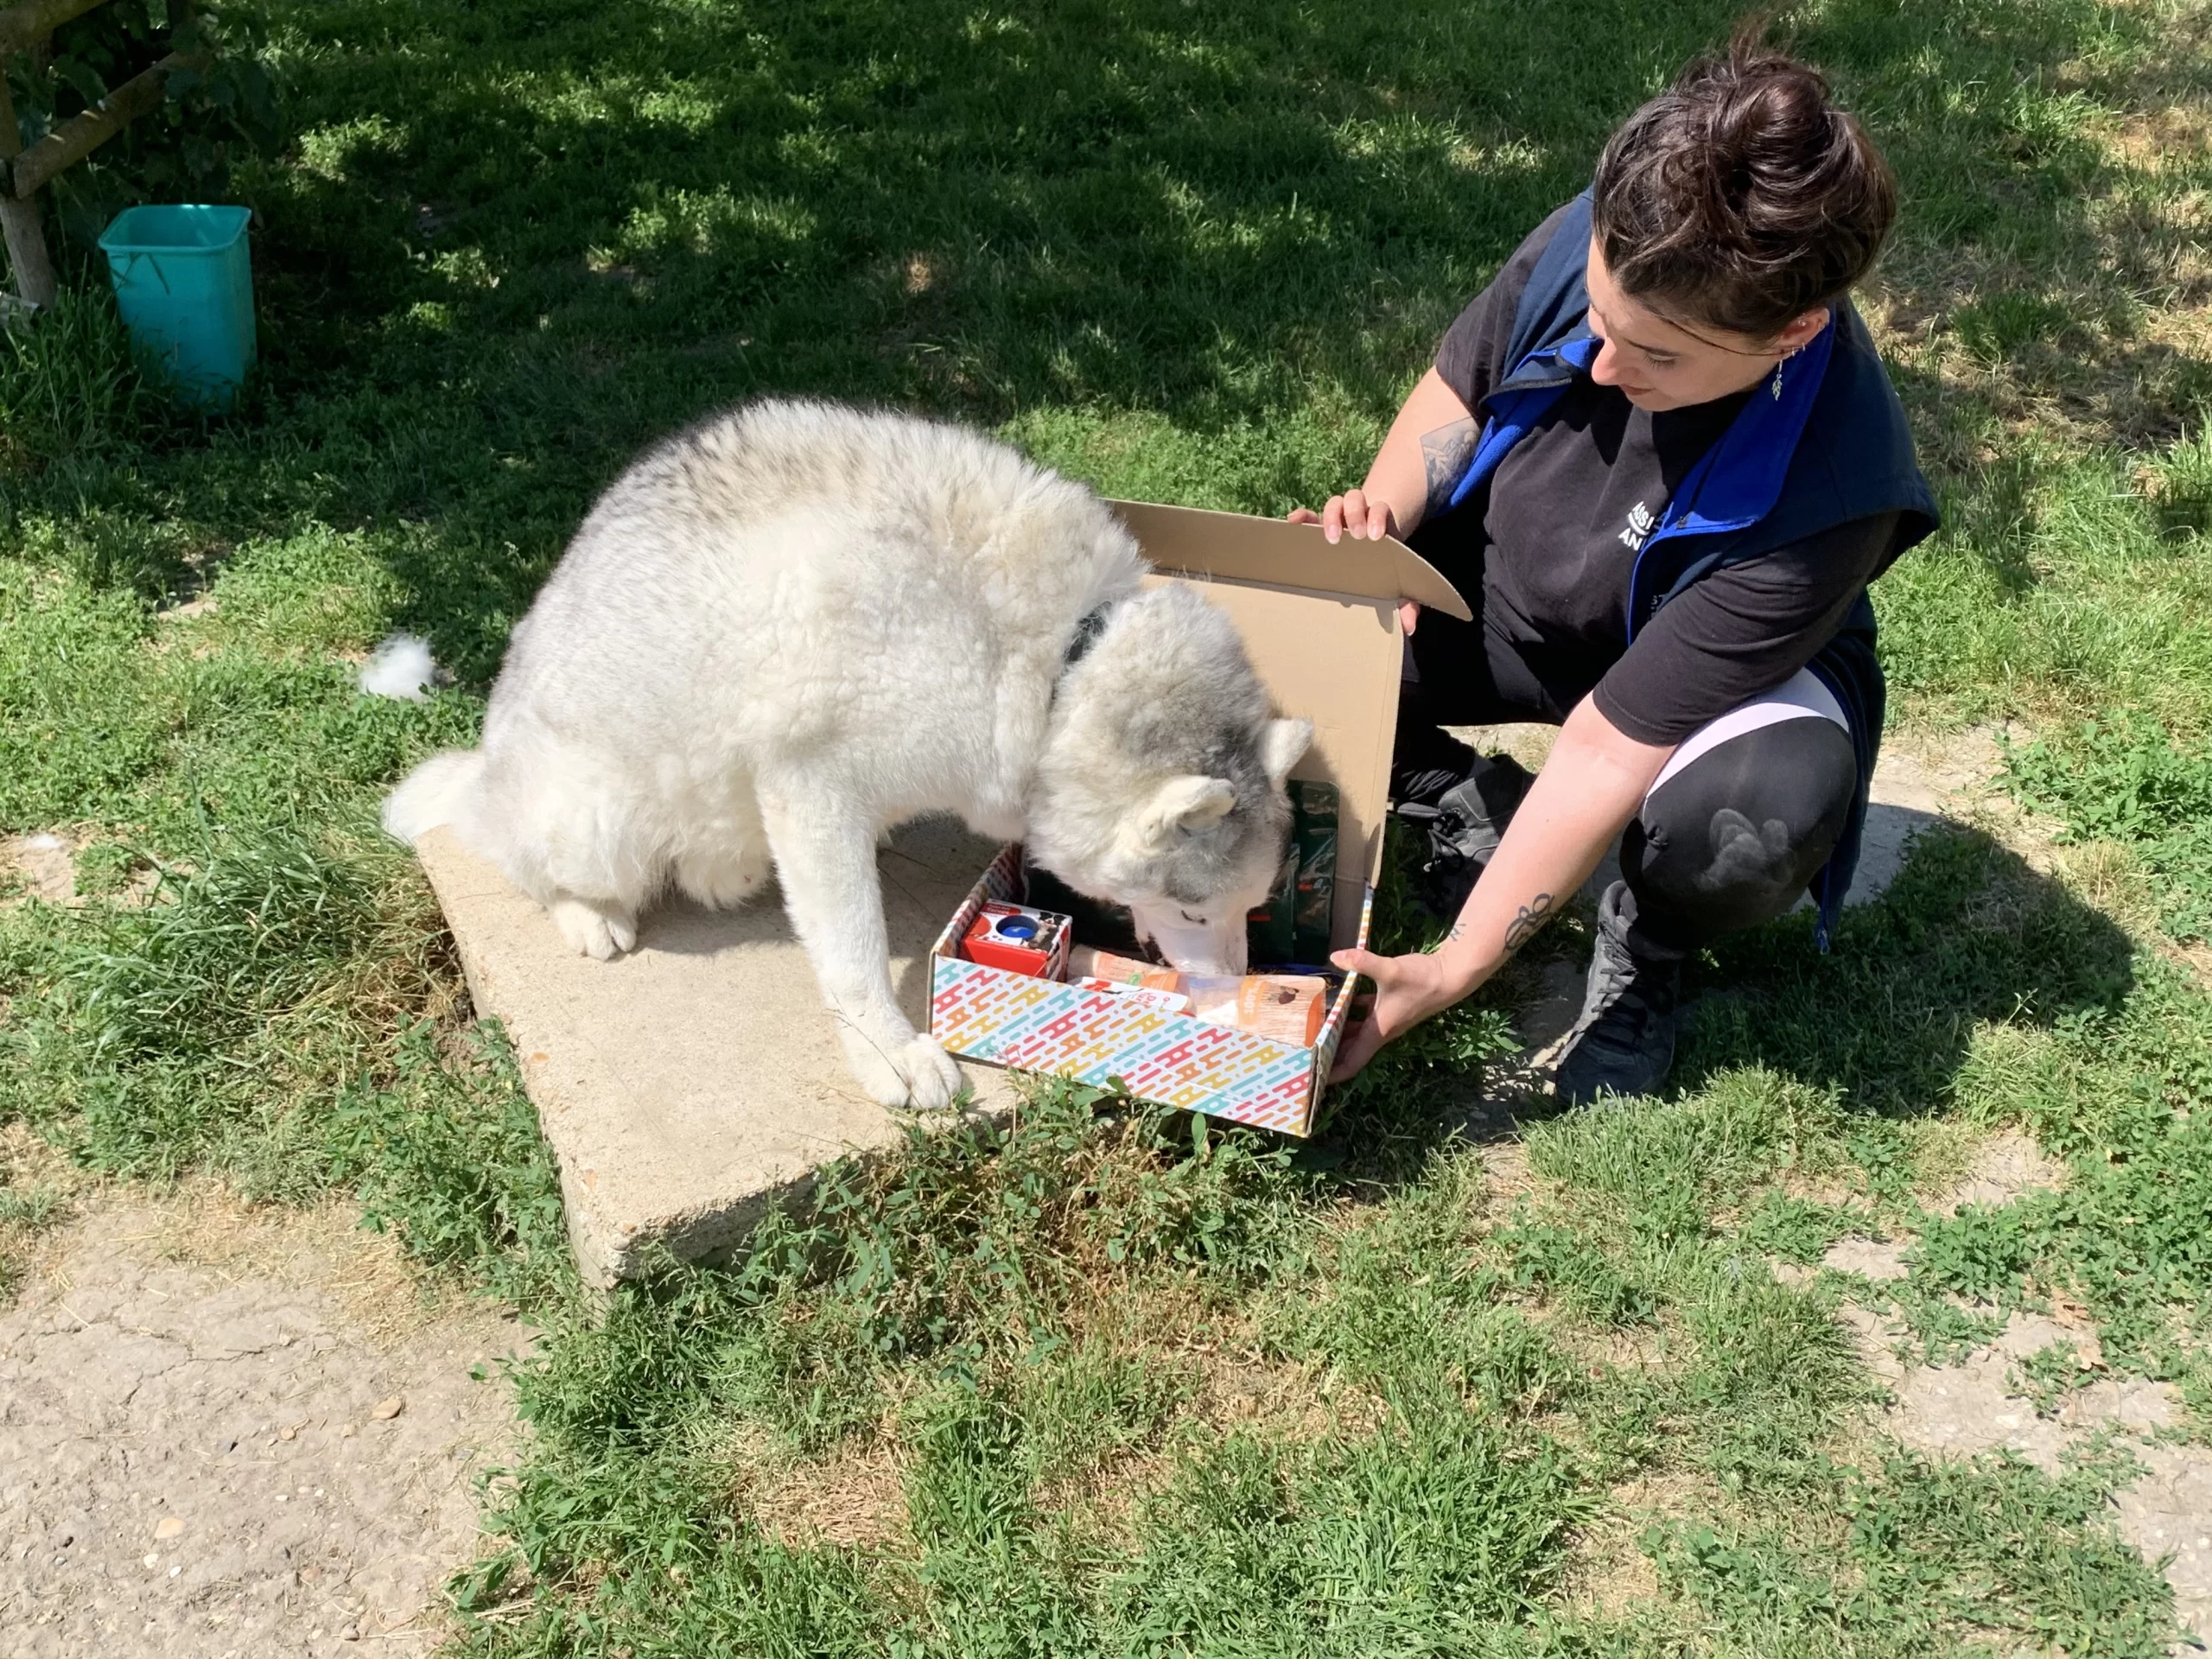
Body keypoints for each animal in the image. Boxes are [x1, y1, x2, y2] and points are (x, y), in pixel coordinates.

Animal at [382, 397, 1309, 1110]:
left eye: (1248, 907)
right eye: (1195, 910)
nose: (1233, 990)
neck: (1057, 661)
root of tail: (487, 766)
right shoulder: (811, 785)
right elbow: (853, 945)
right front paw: (889, 1051)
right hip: (593, 820)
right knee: (510, 853)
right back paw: (586, 911)